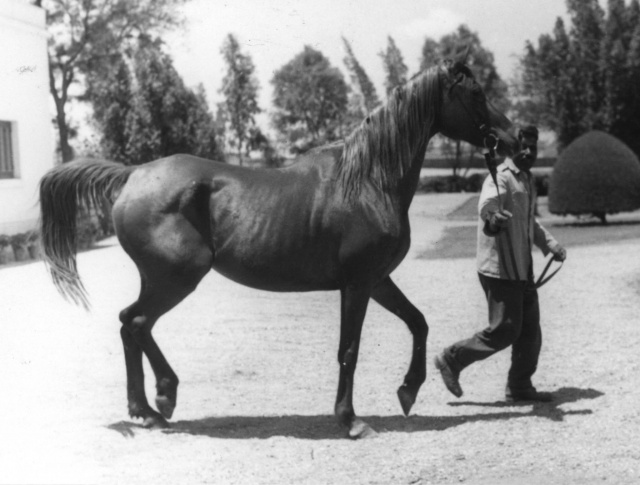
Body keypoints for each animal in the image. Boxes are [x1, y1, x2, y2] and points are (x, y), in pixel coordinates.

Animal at [38, 53, 520, 438]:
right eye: (476, 93)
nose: (517, 137)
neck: (368, 180)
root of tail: (133, 175)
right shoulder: (358, 284)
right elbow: (349, 350)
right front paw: (351, 420)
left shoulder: (378, 280)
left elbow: (418, 322)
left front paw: (408, 390)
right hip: (176, 278)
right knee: (137, 323)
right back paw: (163, 400)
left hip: (161, 279)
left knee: (128, 324)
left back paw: (145, 410)